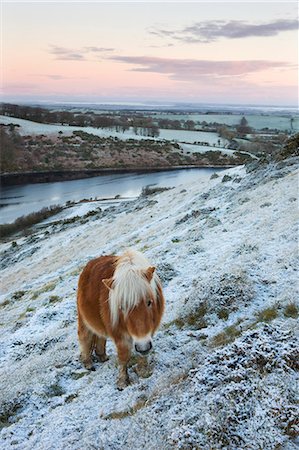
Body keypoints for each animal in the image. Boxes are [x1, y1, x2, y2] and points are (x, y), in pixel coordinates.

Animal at [76, 248, 165, 388]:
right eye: (121, 308)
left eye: (149, 302)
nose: (143, 346)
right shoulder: (119, 334)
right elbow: (124, 356)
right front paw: (122, 382)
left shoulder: (149, 332)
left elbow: (142, 354)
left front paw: (143, 371)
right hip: (83, 319)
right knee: (85, 337)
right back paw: (88, 363)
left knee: (100, 337)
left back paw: (102, 356)